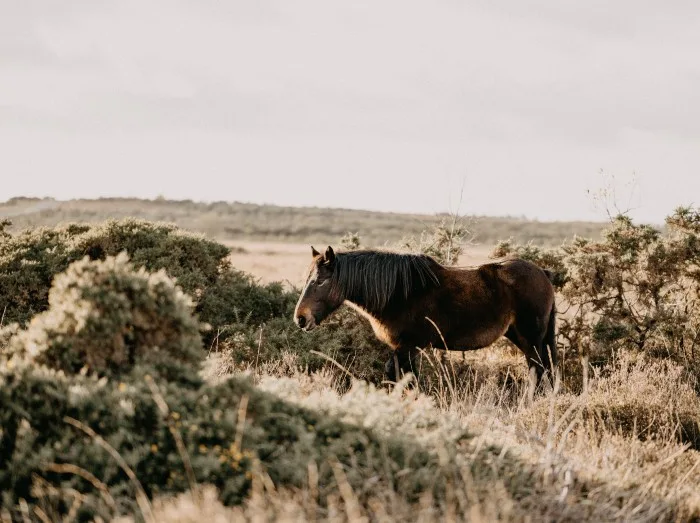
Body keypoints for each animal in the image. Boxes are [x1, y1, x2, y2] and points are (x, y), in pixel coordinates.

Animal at [294, 248, 556, 386]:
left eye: (321, 281)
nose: (300, 318)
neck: (399, 293)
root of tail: (543, 273)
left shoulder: (409, 346)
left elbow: (406, 377)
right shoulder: (402, 348)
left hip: (531, 338)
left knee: (537, 371)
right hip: (521, 337)